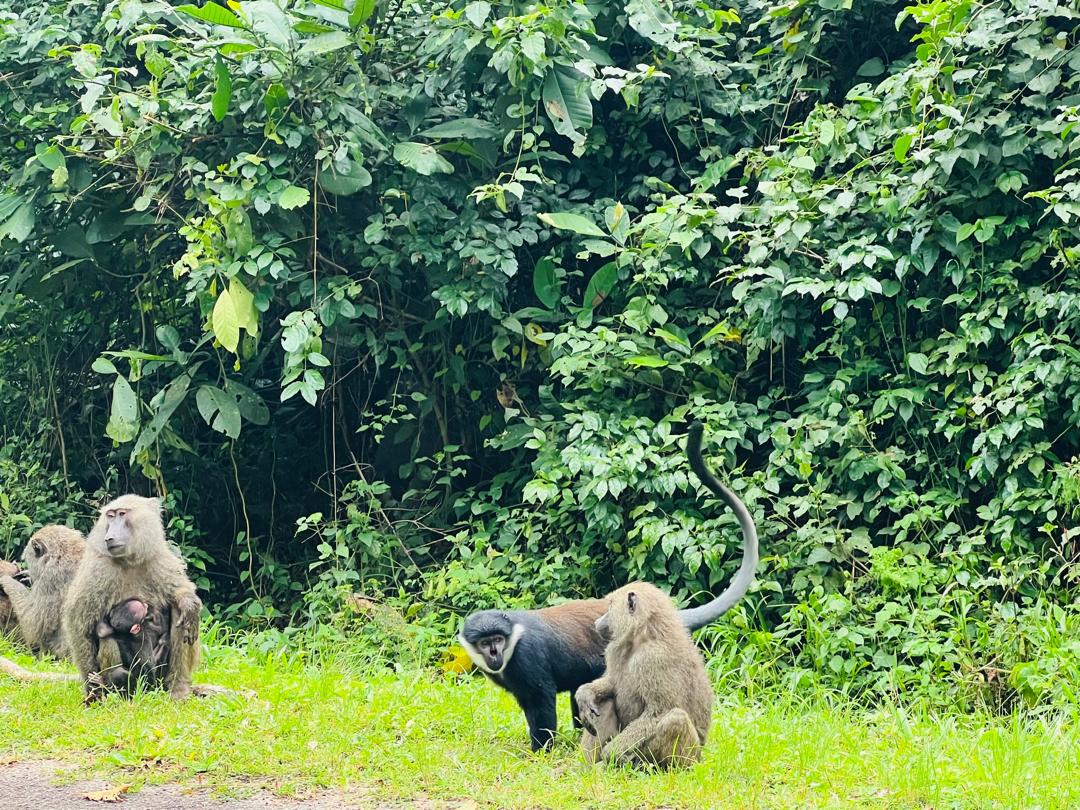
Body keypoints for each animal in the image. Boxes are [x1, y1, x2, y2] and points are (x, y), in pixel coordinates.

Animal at [62, 495, 202, 704]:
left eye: (122, 514)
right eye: (110, 516)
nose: (109, 537)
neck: (129, 560)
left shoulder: (157, 558)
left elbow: (179, 592)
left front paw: (189, 603)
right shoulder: (98, 569)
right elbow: (79, 626)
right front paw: (93, 692)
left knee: (180, 615)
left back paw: (178, 688)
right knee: (106, 635)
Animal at [575, 581, 713, 768]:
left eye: (610, 606)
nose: (596, 622)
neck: (645, 634)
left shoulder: (652, 658)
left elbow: (659, 712)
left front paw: (610, 753)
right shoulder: (615, 649)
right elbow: (612, 684)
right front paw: (585, 693)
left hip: (690, 756)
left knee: (675, 719)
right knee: (602, 703)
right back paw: (588, 768)